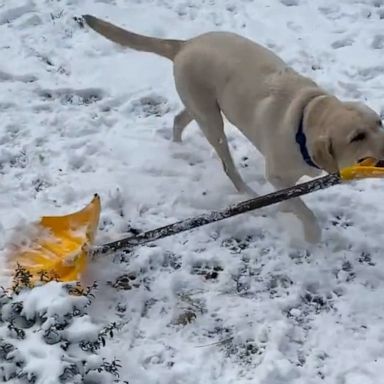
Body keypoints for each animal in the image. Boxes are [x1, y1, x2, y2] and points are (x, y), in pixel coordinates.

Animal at [83, 15, 384, 243]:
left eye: (379, 122)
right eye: (357, 136)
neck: (307, 118)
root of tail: (185, 44)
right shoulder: (276, 177)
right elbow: (302, 208)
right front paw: (311, 234)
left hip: (202, 108)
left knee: (179, 119)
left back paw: (177, 145)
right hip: (212, 120)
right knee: (228, 165)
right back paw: (245, 190)